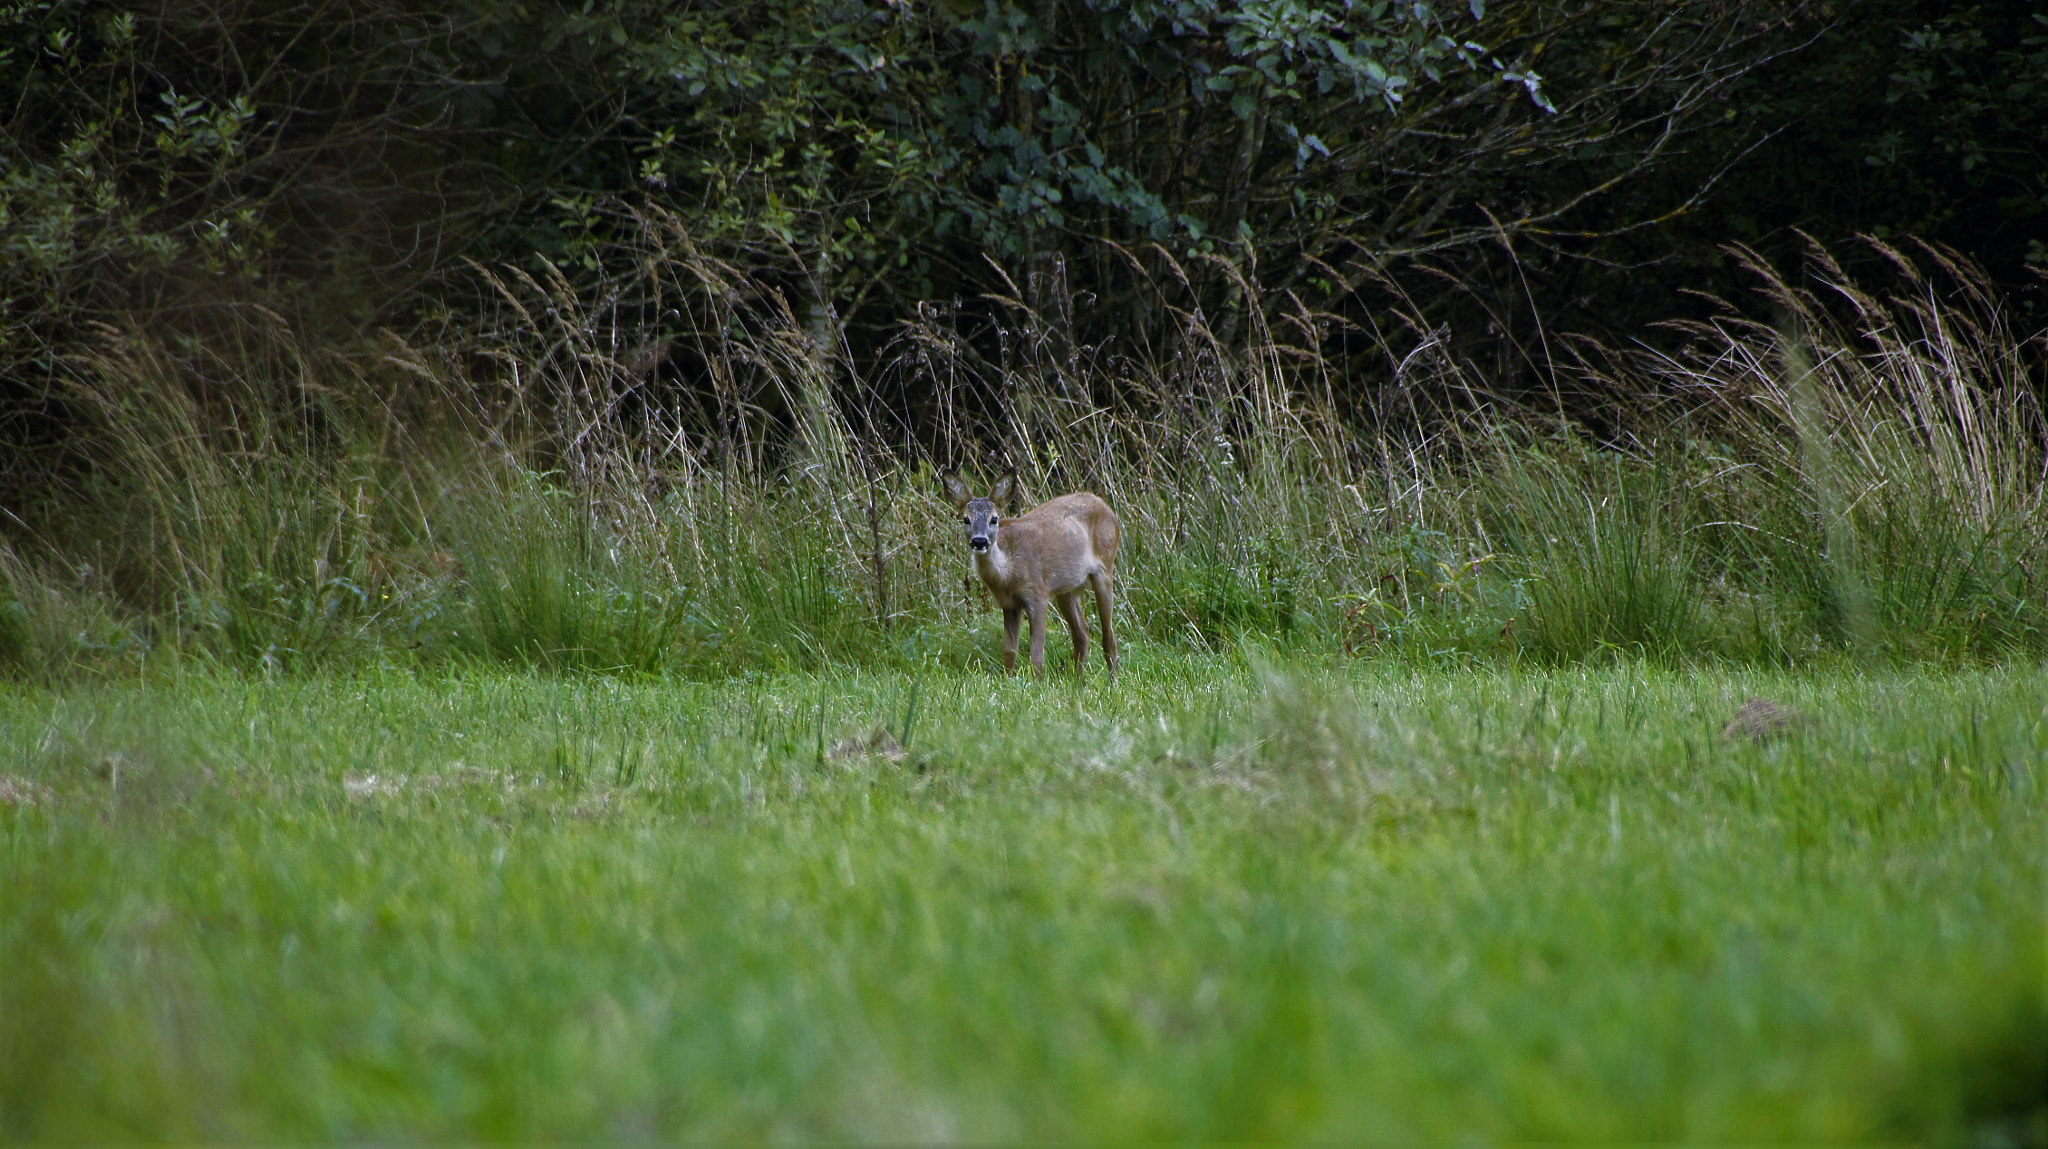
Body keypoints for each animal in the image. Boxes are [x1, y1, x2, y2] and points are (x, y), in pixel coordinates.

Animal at [945, 474, 1120, 681]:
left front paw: (1038, 684)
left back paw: (1112, 683)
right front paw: (1008, 681)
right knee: (1082, 633)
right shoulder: (1009, 604)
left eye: (994, 519)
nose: (979, 541)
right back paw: (1078, 683)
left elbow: (1036, 655)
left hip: (1105, 568)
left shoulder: (1038, 594)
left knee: (1108, 636)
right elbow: (1008, 652)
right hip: (1067, 588)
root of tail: (1104, 505)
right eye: (966, 519)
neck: (1008, 572)